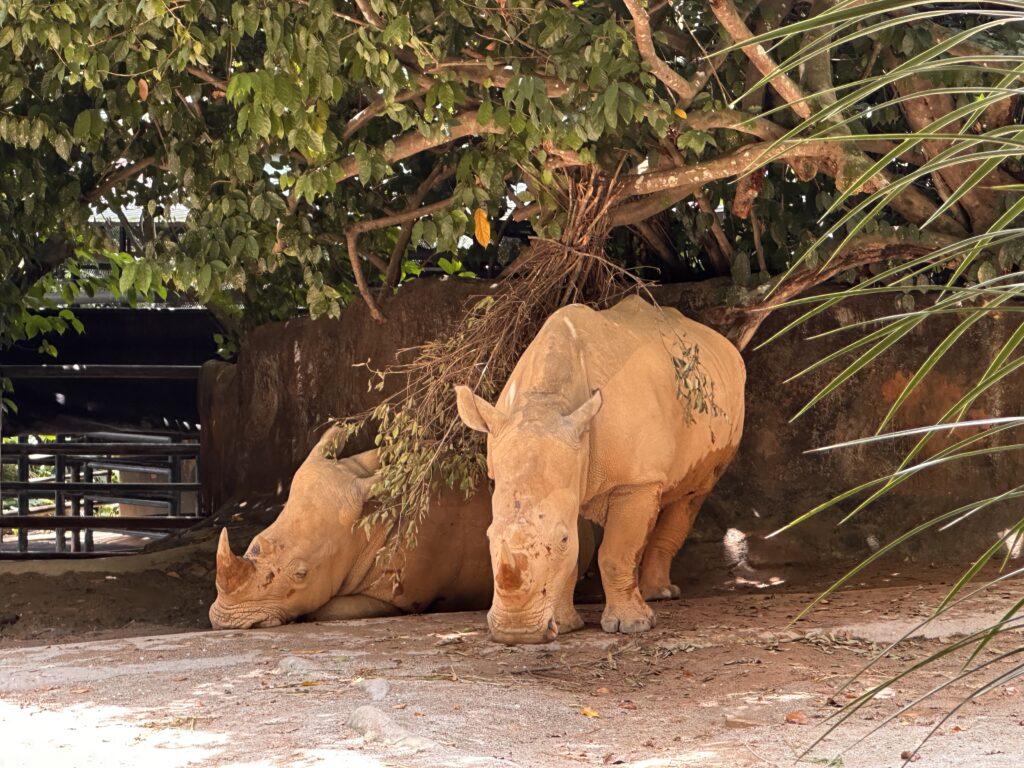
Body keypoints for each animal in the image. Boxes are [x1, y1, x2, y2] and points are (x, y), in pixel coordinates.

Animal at [208, 427, 494, 629]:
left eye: (301, 574)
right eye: (254, 543)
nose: (225, 620)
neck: (365, 527)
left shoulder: (396, 598)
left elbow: (321, 610)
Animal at [456, 295, 745, 644]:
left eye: (562, 538)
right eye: (488, 536)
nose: (516, 633)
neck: (546, 404)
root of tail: (723, 342)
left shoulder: (634, 480)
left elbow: (613, 552)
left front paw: (632, 626)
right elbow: (581, 555)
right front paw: (566, 624)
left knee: (691, 494)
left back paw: (659, 595)